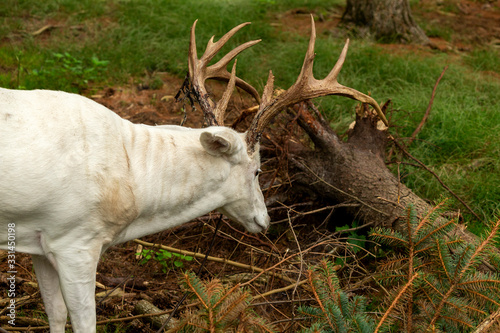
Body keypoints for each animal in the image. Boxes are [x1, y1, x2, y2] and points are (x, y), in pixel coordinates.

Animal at [0, 16, 386, 330]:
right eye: (258, 171)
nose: (265, 220)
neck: (133, 182)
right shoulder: (76, 239)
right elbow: (83, 322)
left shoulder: (42, 241)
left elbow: (55, 314)